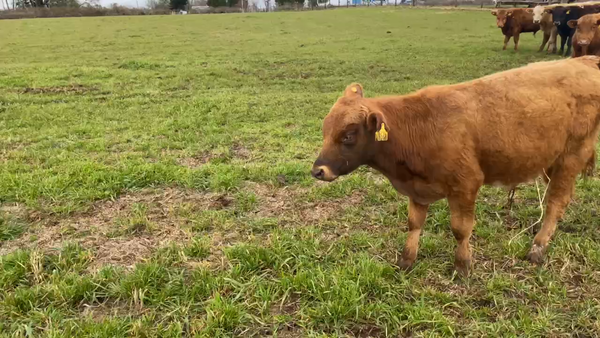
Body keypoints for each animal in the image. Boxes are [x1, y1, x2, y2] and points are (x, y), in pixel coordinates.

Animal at [310, 56, 600, 276]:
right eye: (325, 130)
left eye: (348, 136)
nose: (318, 171)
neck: (417, 127)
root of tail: (582, 61)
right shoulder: (417, 189)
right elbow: (414, 223)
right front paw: (407, 259)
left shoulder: (466, 184)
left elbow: (460, 229)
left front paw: (462, 265)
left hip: (571, 157)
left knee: (556, 202)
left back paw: (538, 247)